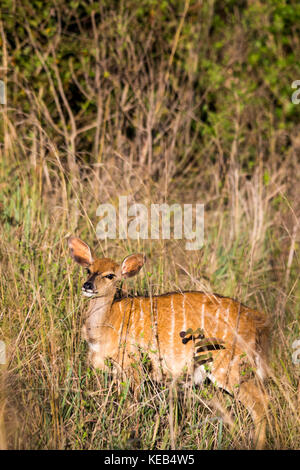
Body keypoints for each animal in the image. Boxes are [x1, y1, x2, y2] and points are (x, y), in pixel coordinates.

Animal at [68, 237, 270, 450]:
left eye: (110, 275)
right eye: (88, 270)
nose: (87, 285)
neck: (104, 326)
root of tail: (255, 320)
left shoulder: (133, 367)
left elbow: (132, 403)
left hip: (228, 366)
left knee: (260, 402)